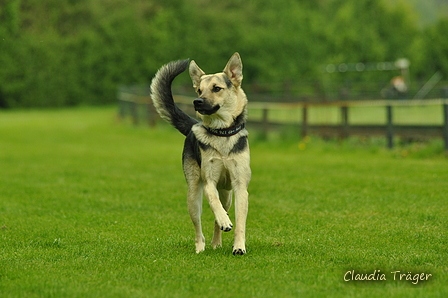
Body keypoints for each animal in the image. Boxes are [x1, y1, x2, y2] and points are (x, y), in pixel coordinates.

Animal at [150, 52, 248, 255]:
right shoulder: (209, 181)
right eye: (199, 90)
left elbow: (240, 222)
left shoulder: (240, 186)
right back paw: (201, 247)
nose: (197, 101)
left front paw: (239, 247)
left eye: (216, 88)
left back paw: (217, 241)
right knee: (199, 226)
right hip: (193, 195)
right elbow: (213, 200)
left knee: (219, 216)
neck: (222, 133)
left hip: (227, 195)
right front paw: (225, 222)